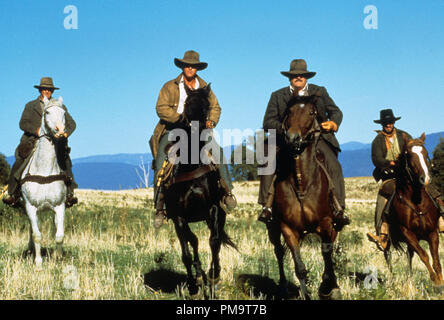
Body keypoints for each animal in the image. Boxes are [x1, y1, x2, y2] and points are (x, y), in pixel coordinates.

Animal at [21, 95, 68, 268]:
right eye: (47, 112)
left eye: (63, 112)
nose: (60, 131)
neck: (44, 171)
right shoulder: (30, 207)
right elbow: (37, 235)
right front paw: (38, 263)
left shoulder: (60, 207)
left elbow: (59, 235)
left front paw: (57, 258)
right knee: (32, 230)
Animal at [268, 95, 344, 300]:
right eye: (289, 111)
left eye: (311, 112)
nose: (292, 138)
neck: (301, 183)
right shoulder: (288, 228)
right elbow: (299, 267)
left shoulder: (326, 223)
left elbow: (327, 254)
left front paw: (328, 287)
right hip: (274, 229)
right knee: (279, 252)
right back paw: (283, 287)